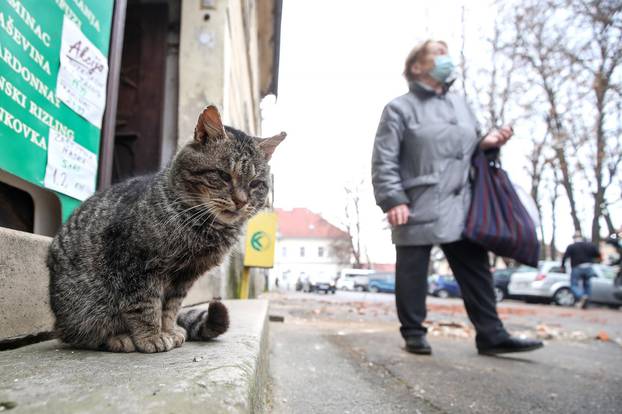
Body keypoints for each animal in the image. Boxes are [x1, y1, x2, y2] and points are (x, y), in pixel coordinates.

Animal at [48, 106, 288, 352]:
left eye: (255, 184)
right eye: (223, 175)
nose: (241, 201)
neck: (203, 228)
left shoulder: (184, 276)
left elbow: (171, 308)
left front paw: (169, 331)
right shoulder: (135, 265)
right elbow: (145, 305)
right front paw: (151, 336)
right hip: (85, 308)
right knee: (81, 335)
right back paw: (119, 338)